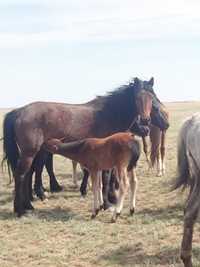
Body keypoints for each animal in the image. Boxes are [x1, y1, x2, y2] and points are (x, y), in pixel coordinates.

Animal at [1, 77, 169, 218]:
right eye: (137, 98)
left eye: (152, 98)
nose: (146, 123)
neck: (109, 114)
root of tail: (19, 111)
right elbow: (105, 178)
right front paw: (107, 203)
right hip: (30, 152)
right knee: (21, 175)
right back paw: (21, 209)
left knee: (28, 174)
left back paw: (28, 204)